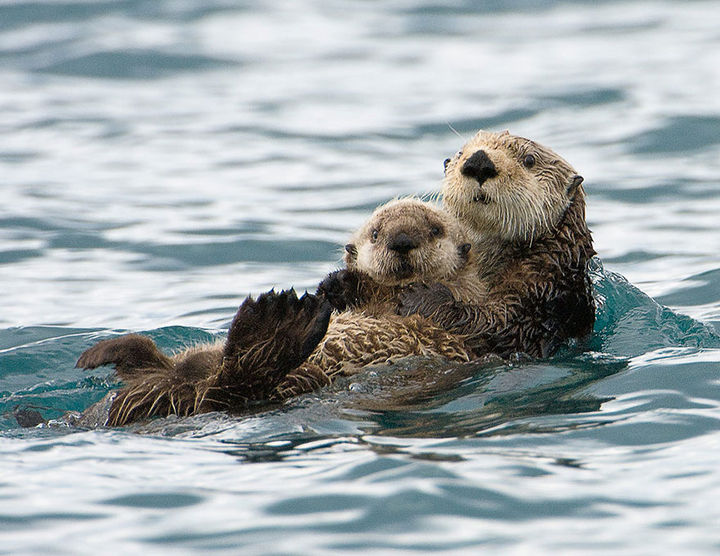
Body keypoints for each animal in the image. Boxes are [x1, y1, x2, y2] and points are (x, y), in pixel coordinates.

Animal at [75, 199, 484, 426]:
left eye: (435, 230)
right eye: (376, 233)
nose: (402, 241)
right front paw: (338, 284)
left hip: (297, 378)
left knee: (229, 387)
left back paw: (278, 321)